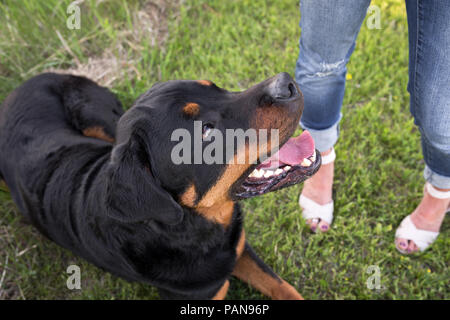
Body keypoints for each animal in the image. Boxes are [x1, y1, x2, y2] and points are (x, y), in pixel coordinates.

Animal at [0, 72, 320, 300]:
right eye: (206, 131)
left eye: (216, 87)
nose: (287, 83)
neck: (197, 228)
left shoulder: (239, 249)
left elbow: (281, 286)